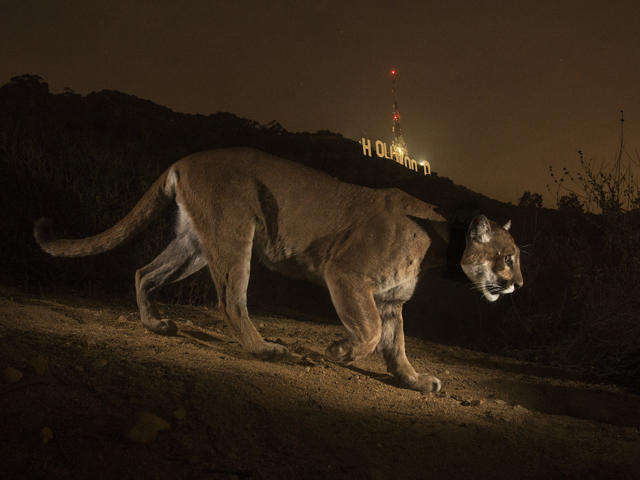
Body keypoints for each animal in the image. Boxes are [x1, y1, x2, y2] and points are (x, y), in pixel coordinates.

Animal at [35, 148, 524, 392]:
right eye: (508, 257)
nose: (518, 283)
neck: (441, 240)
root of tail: (184, 160)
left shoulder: (390, 301)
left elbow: (396, 347)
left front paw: (415, 381)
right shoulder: (346, 274)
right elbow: (367, 334)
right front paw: (337, 352)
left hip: (195, 244)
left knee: (144, 272)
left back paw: (156, 324)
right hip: (235, 234)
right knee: (231, 300)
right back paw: (266, 349)